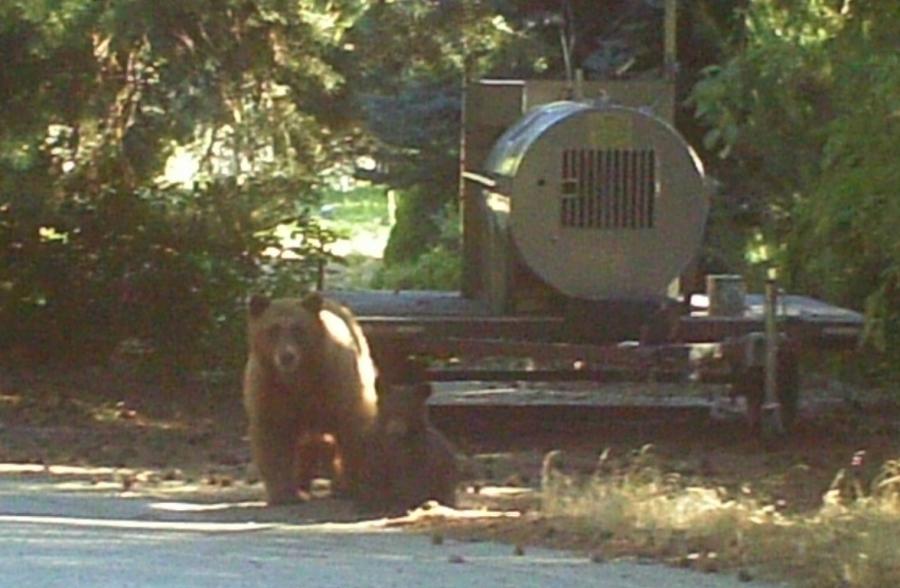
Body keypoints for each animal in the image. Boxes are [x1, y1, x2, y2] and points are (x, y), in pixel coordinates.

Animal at [242, 292, 379, 505]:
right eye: (273, 329)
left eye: (298, 328)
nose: (287, 356)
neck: (300, 378)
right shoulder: (269, 389)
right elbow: (272, 437)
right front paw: (283, 493)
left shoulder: (335, 383)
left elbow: (352, 430)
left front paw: (350, 485)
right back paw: (302, 485)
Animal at [376, 380, 459, 512]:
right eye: (387, 410)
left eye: (407, 411)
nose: (394, 431)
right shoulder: (386, 458)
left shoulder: (424, 458)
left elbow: (417, 482)